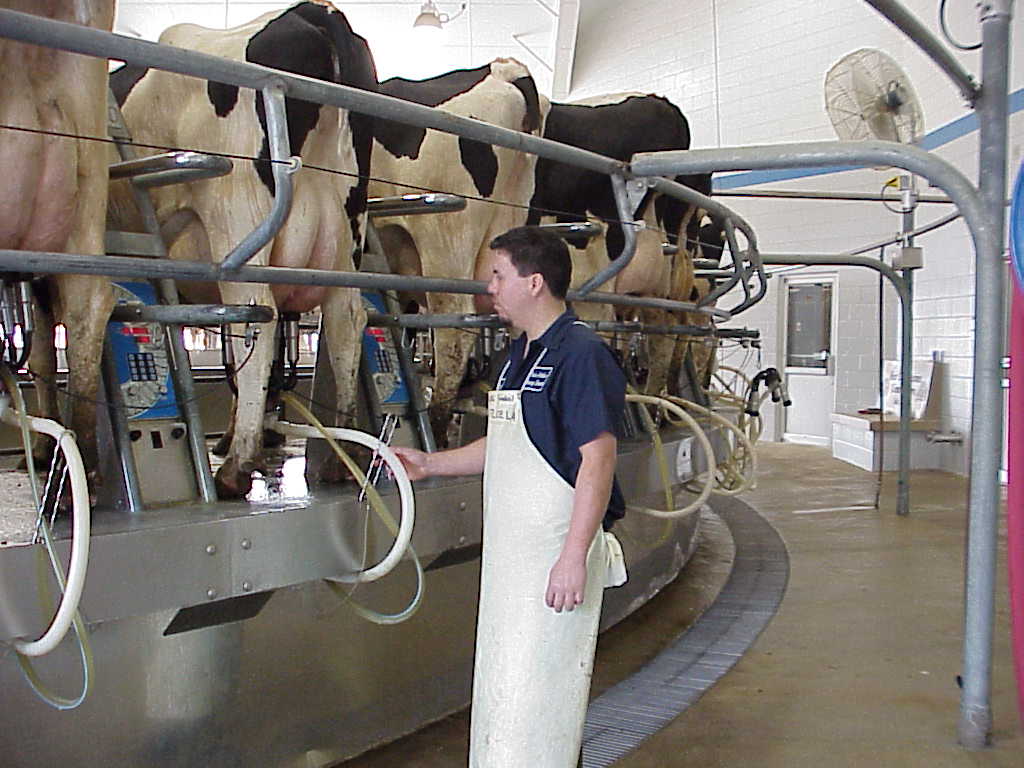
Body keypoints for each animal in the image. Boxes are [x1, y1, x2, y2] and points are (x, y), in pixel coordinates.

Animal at [109, 1, 380, 499]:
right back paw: (339, 456)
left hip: (238, 213)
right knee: (345, 320)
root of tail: (316, 11)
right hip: (344, 231)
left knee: (257, 311)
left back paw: (236, 467)